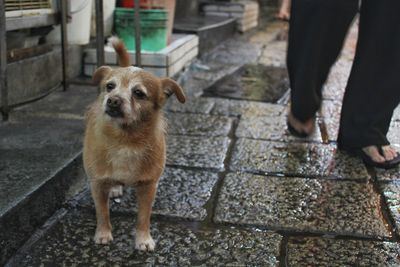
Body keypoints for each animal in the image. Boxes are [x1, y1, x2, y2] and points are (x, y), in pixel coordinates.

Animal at [83, 38, 187, 252]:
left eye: (138, 93)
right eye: (109, 86)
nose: (112, 100)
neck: (125, 140)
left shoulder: (148, 187)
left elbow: (143, 217)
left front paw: (143, 239)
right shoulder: (97, 184)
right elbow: (102, 212)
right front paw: (103, 234)